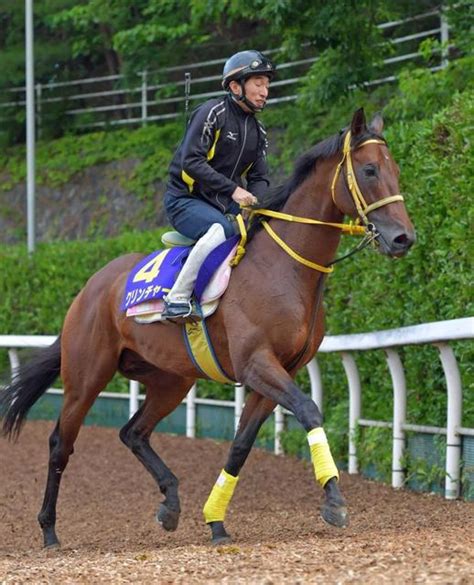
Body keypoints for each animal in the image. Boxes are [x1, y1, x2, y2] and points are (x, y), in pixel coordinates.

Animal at [0, 108, 414, 548]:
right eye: (369, 170)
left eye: (395, 170)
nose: (403, 237)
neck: (283, 268)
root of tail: (89, 288)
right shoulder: (256, 364)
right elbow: (309, 410)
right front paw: (334, 499)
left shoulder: (277, 372)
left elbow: (241, 446)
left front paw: (215, 521)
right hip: (86, 374)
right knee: (61, 442)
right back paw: (49, 529)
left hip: (171, 380)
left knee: (133, 432)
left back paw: (170, 503)